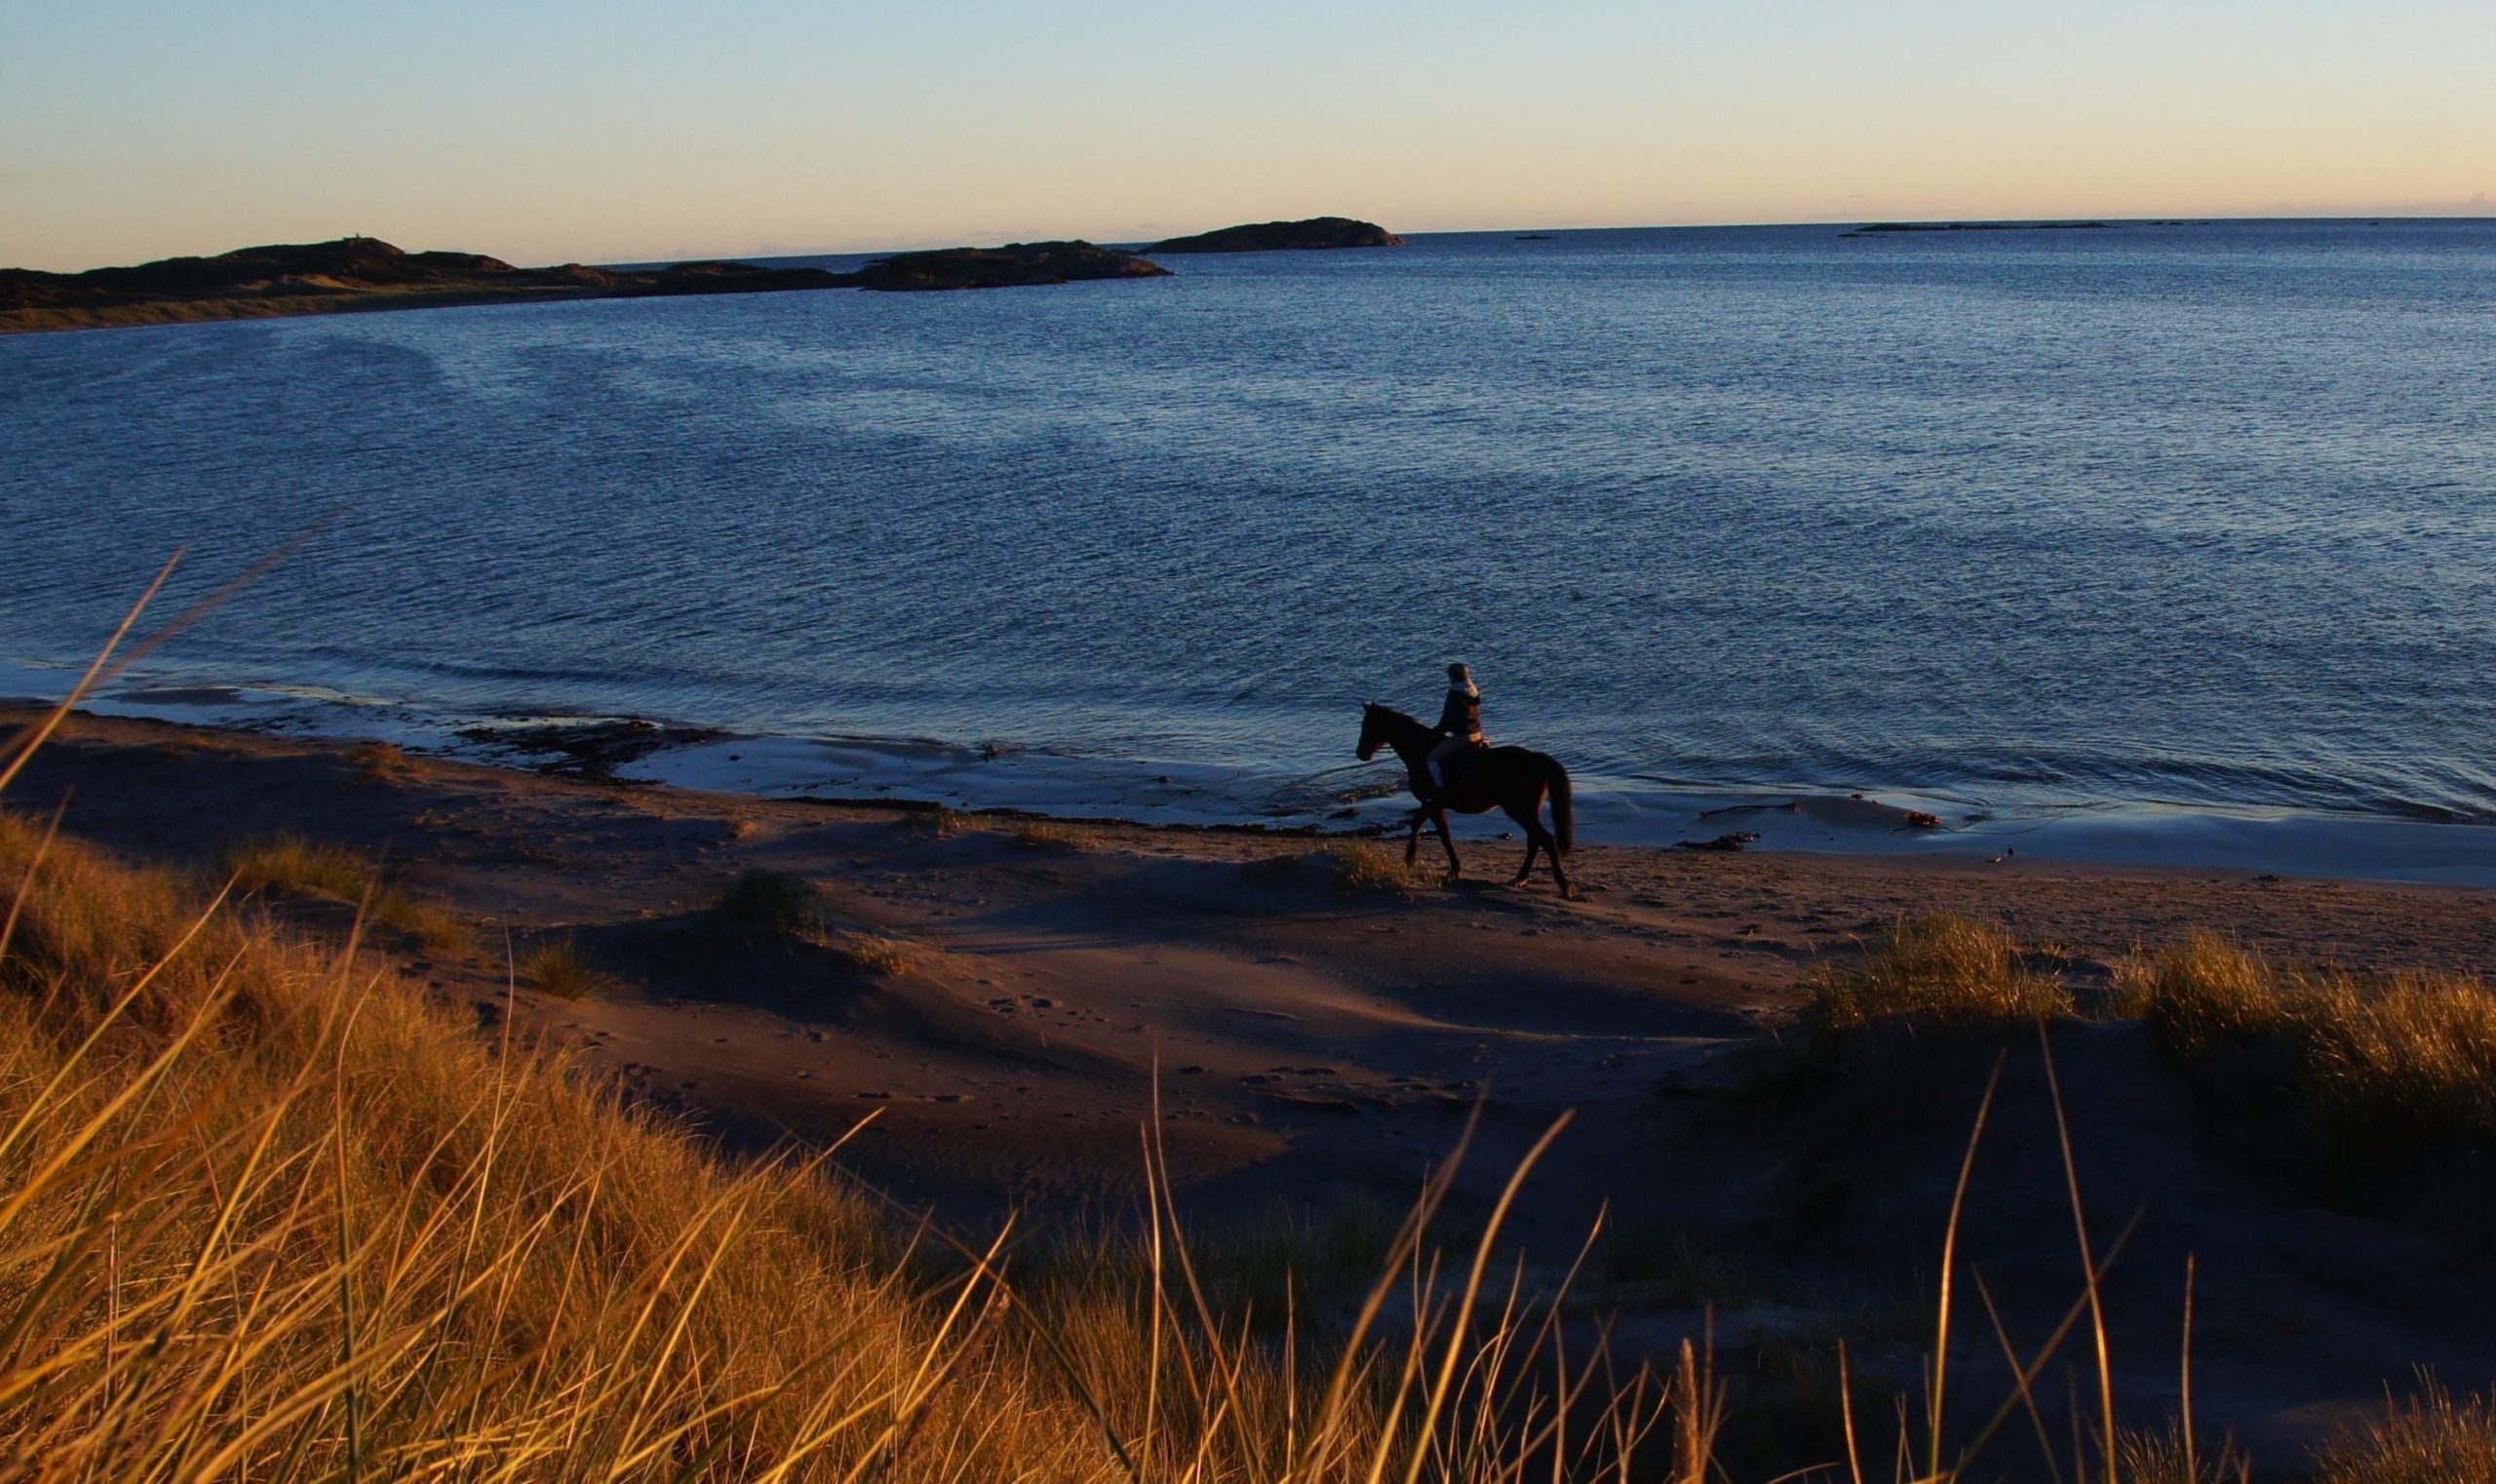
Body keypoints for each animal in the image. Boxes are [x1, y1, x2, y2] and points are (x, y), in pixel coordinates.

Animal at [1357, 703, 1567, 897]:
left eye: (1366, 725)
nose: (1360, 753)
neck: (1421, 751)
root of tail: (1535, 758)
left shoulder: (1433, 804)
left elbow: (1441, 834)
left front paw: (1450, 868)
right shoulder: (1431, 804)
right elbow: (1421, 825)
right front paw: (1413, 859)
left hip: (1520, 810)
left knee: (1545, 839)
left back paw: (1562, 886)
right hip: (1528, 811)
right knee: (1535, 840)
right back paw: (1521, 878)